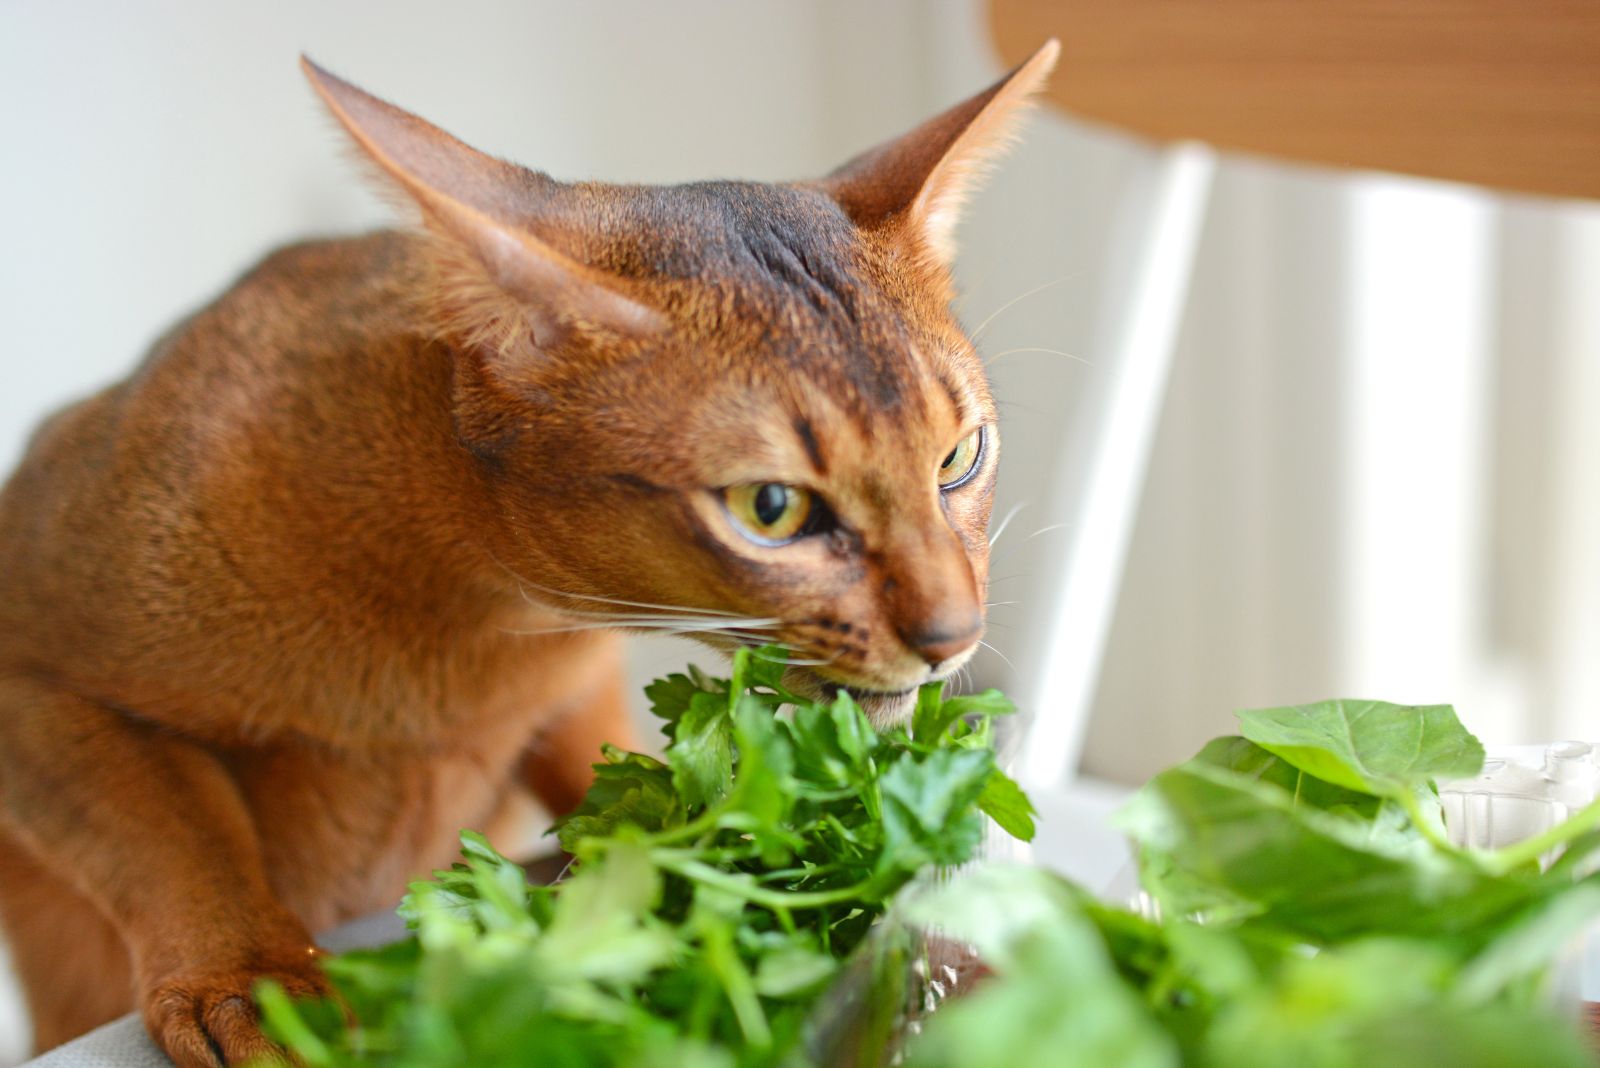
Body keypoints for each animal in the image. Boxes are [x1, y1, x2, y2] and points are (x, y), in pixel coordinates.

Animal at [0, 39, 1056, 1061]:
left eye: (958, 458)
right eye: (771, 509)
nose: (954, 635)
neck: (473, 617)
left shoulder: (573, 681)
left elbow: (598, 769)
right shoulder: (31, 676)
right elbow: (172, 833)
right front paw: (253, 981)